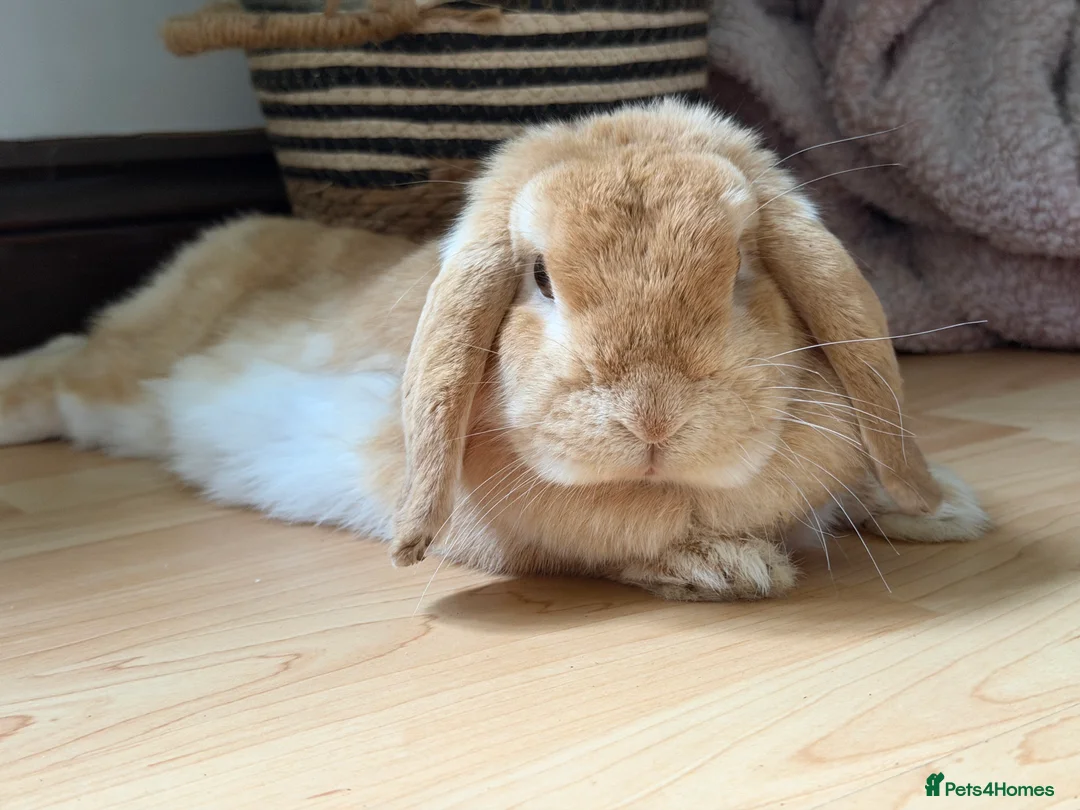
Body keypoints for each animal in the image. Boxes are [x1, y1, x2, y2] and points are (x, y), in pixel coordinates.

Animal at [0, 99, 990, 601]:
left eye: (744, 267)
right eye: (540, 277)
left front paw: (948, 510)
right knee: (62, 367)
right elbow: (608, 542)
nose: (653, 419)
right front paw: (729, 566)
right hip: (120, 379)